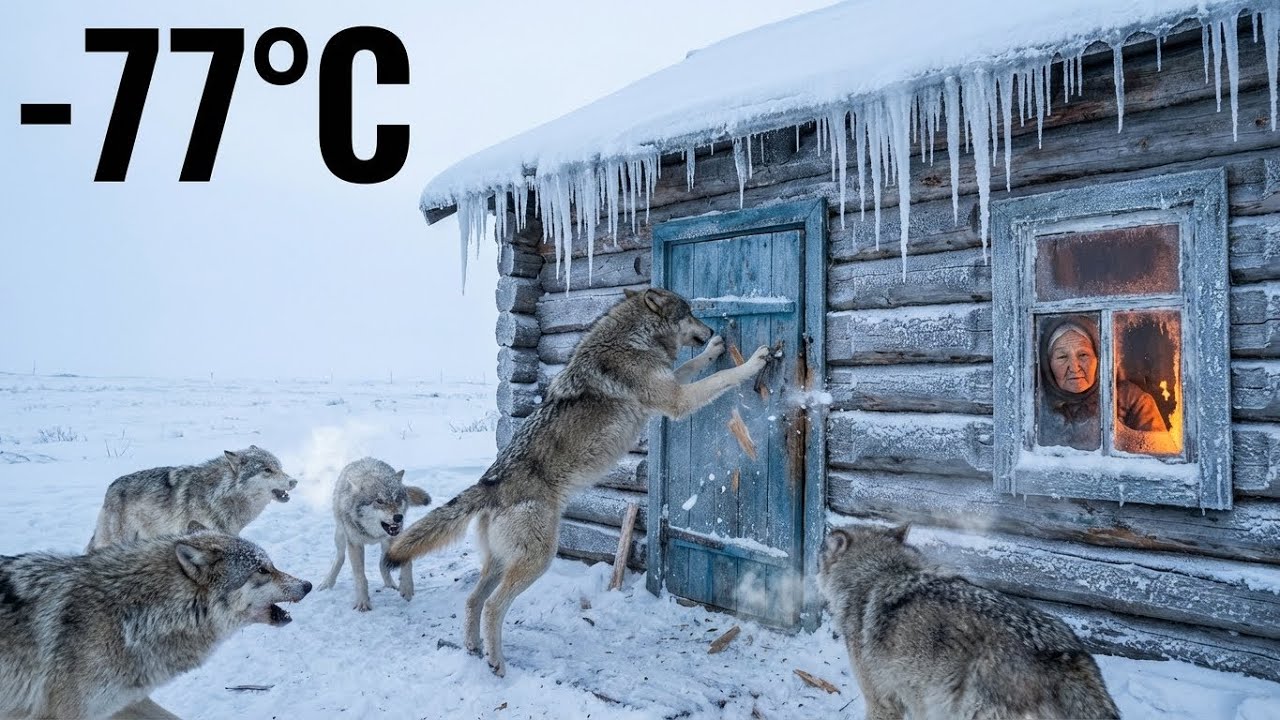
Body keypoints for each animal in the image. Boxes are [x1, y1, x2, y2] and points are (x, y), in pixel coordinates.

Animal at [316, 457, 431, 611]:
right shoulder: (355, 544)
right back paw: (327, 582)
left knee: (382, 564)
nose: (398, 517)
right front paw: (363, 602)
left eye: (396, 499)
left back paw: (391, 585)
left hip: (387, 543)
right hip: (340, 535)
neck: (373, 534)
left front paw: (406, 589)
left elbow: (407, 562)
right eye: (379, 501)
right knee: (340, 557)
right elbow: (360, 577)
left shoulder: (398, 535)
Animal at [384, 287, 770, 676]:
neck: (634, 339)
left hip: (501, 562)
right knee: (493, 606)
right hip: (537, 559)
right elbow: (721, 379)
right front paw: (754, 361)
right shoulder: (675, 401)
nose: (711, 330)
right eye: (689, 313)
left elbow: (692, 367)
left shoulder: (669, 386)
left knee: (471, 600)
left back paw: (472, 649)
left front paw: (715, 350)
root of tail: (490, 483)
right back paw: (497, 664)